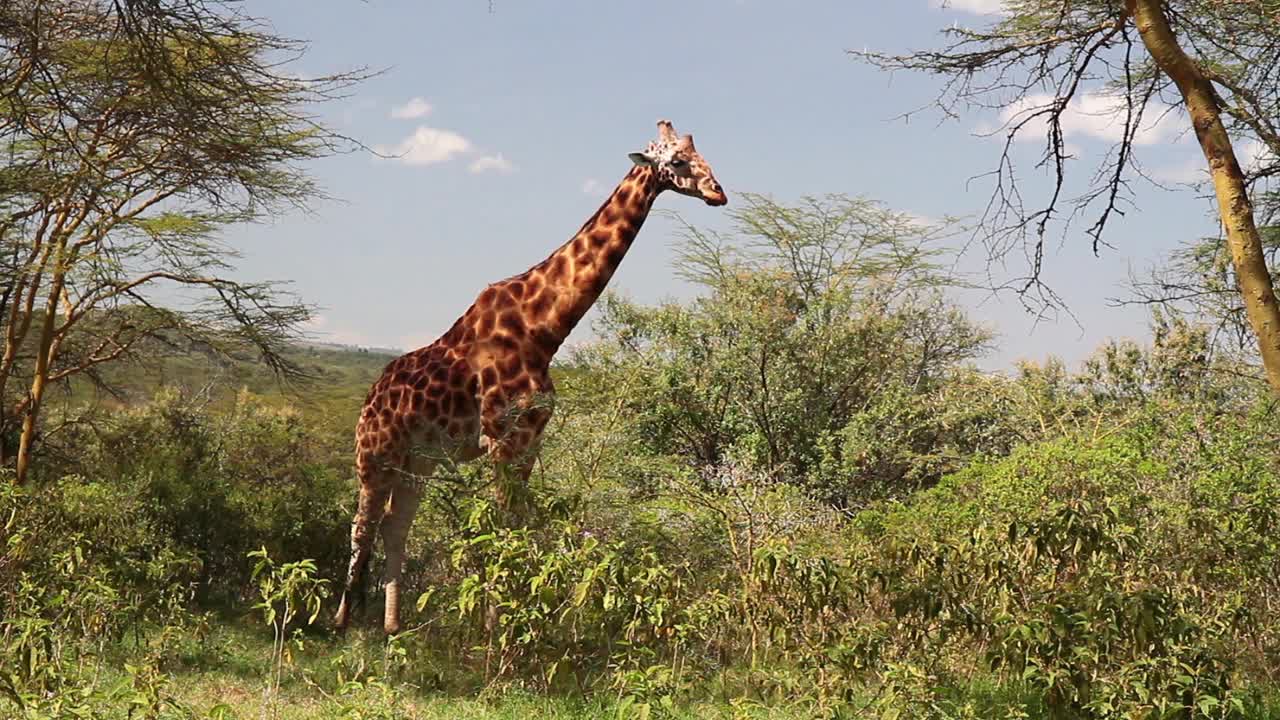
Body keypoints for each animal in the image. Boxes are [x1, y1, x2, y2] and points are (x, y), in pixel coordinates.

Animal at [335, 120, 727, 630]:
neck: (545, 328)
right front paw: (496, 627)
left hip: (418, 461)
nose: (719, 193)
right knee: (361, 525)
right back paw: (341, 620)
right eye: (677, 161)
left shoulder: (530, 440)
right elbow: (502, 527)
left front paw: (519, 617)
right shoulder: (502, 438)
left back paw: (393, 627)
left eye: (704, 157)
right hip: (375, 455)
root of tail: (370, 396)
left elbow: (521, 525)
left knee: (395, 525)